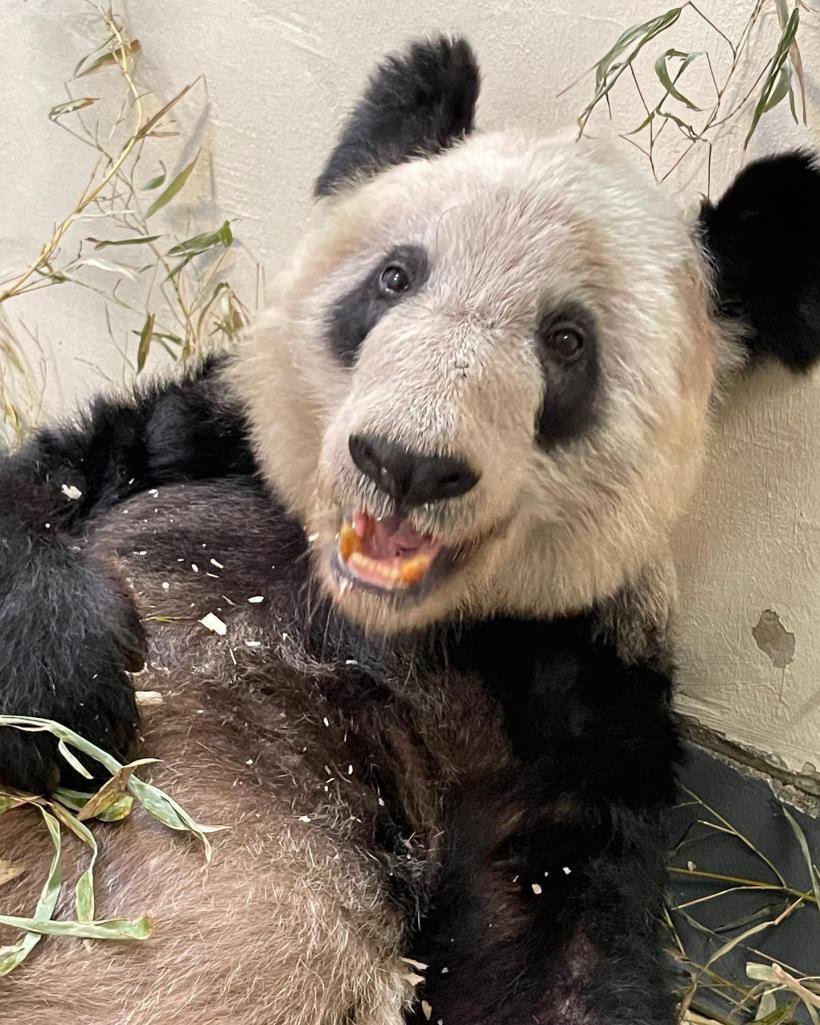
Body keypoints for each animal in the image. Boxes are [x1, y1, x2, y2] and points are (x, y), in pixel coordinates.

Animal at [1, 36, 819, 1025]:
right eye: (396, 277)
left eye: (568, 341)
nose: (405, 462)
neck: (367, 612)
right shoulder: (207, 444)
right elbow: (58, 475)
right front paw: (65, 684)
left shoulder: (571, 694)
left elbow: (556, 936)